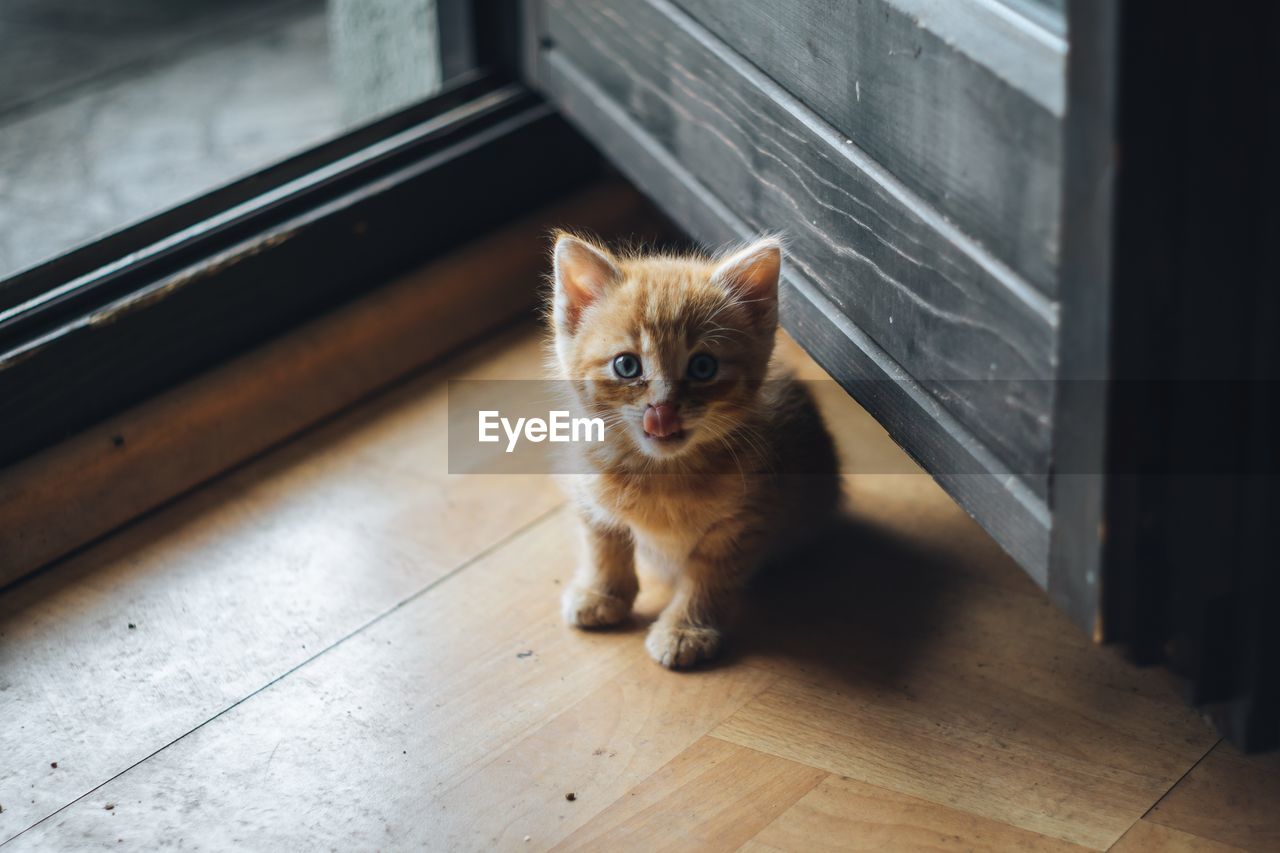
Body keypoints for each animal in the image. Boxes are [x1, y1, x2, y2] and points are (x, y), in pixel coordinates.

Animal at [547, 230, 839, 666]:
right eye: (626, 366)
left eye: (703, 367)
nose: (662, 411)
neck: (662, 474)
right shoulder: (588, 488)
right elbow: (603, 542)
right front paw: (601, 593)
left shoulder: (742, 520)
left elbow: (709, 577)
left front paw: (685, 628)